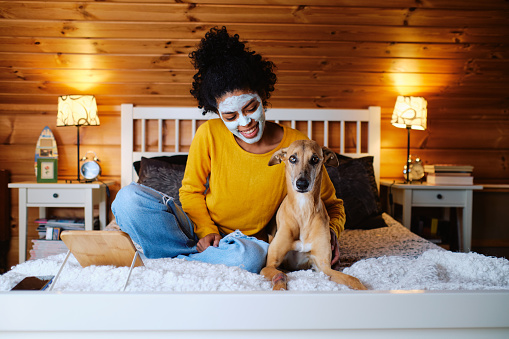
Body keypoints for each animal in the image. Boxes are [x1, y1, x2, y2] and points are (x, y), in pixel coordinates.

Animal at [262, 139, 366, 290]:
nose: (301, 184)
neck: (304, 210)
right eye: (292, 158)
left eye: (315, 159)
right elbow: (280, 274)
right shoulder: (270, 265)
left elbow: (353, 279)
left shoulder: (323, 266)